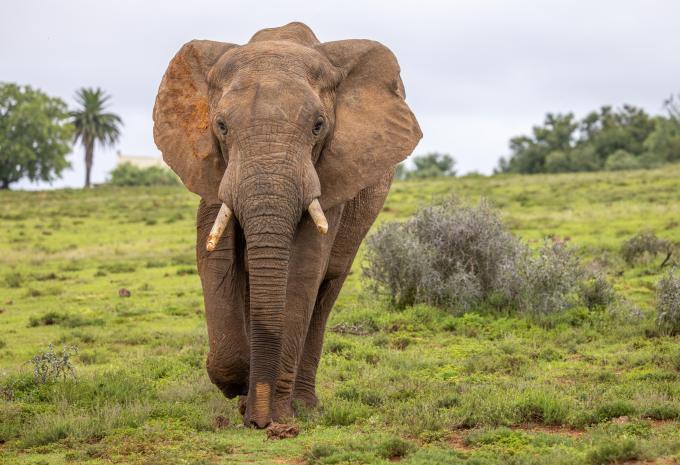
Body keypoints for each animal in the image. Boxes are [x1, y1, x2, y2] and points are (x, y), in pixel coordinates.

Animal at [153, 22, 421, 428]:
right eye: (221, 126)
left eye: (318, 126)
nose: (259, 422)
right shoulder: (211, 165)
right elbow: (214, 258)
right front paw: (242, 387)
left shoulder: (330, 174)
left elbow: (304, 269)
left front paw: (274, 414)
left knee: (326, 291)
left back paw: (304, 406)